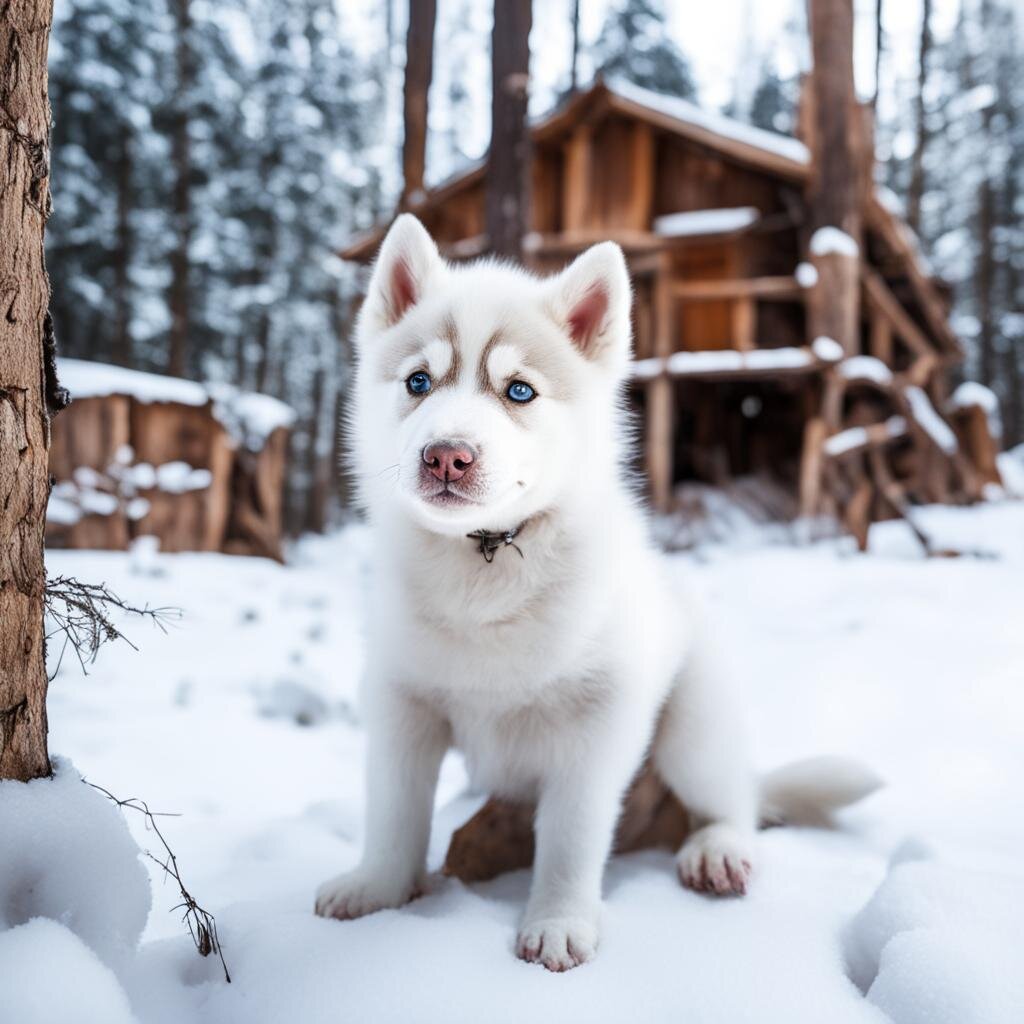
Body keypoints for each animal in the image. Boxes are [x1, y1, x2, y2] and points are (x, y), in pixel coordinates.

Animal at [313, 214, 880, 966]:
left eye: (519, 391)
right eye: (418, 381)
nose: (446, 456)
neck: (487, 561)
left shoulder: (596, 726)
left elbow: (570, 839)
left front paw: (558, 920)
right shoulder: (402, 704)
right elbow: (395, 813)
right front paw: (377, 886)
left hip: (693, 731)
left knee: (732, 806)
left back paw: (717, 850)